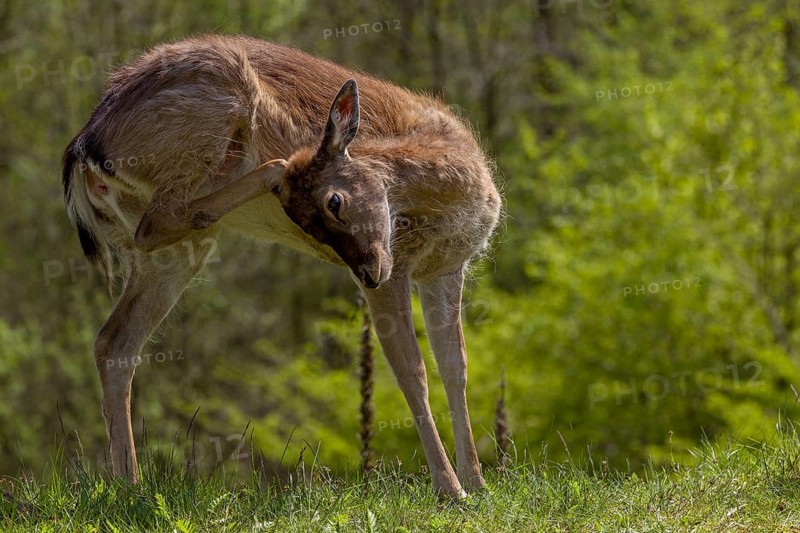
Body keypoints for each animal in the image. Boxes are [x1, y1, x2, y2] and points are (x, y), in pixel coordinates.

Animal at [62, 34, 501, 499]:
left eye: (333, 202)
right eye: (308, 221)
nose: (365, 272)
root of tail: (82, 149)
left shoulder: (445, 269)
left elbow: (456, 366)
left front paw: (478, 482)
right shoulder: (397, 274)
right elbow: (412, 372)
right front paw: (451, 490)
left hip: (166, 252)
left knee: (114, 341)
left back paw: (129, 485)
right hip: (206, 128)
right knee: (160, 222)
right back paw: (270, 169)